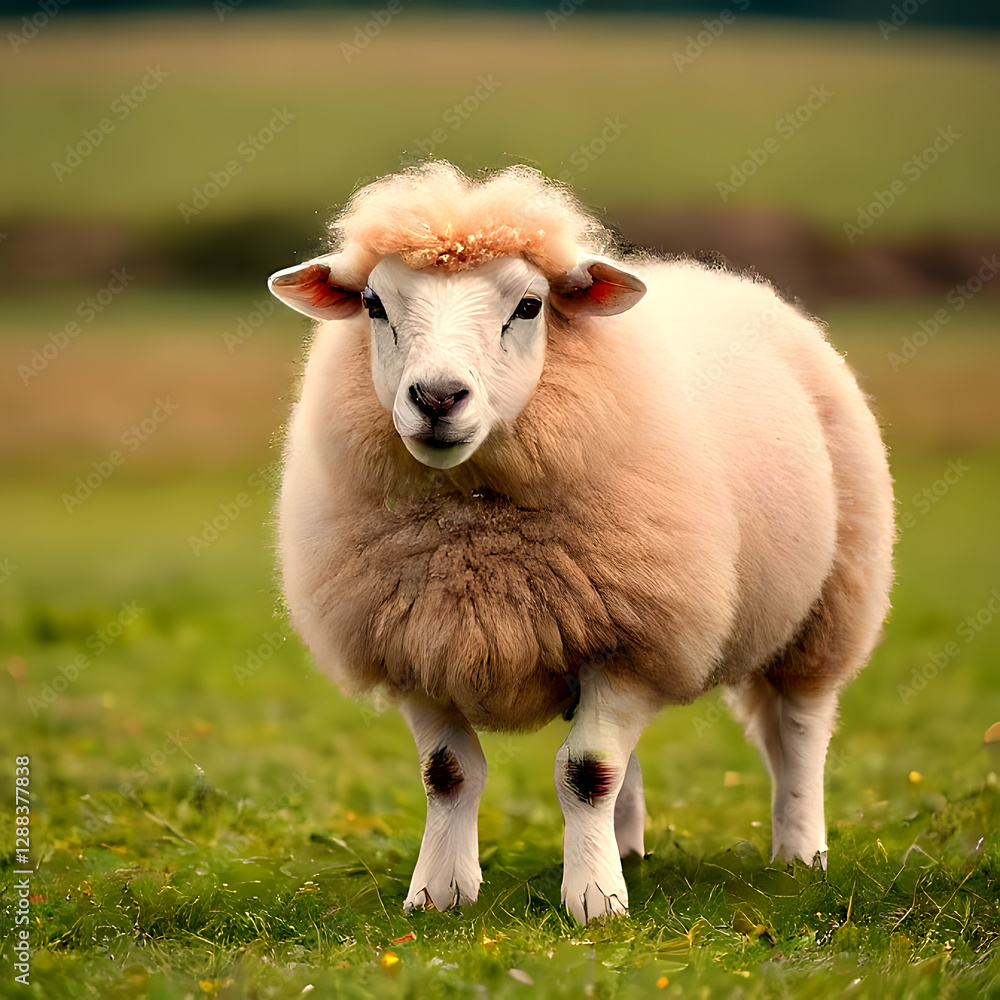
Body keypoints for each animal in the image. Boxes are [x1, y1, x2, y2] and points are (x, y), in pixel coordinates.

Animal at [266, 161, 894, 924]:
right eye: (373, 305)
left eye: (530, 306)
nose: (438, 398)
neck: (475, 530)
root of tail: (708, 272)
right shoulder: (418, 644)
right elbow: (448, 774)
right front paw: (440, 895)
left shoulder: (630, 643)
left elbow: (585, 771)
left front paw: (594, 903)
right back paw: (629, 848)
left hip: (829, 603)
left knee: (798, 732)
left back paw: (799, 853)